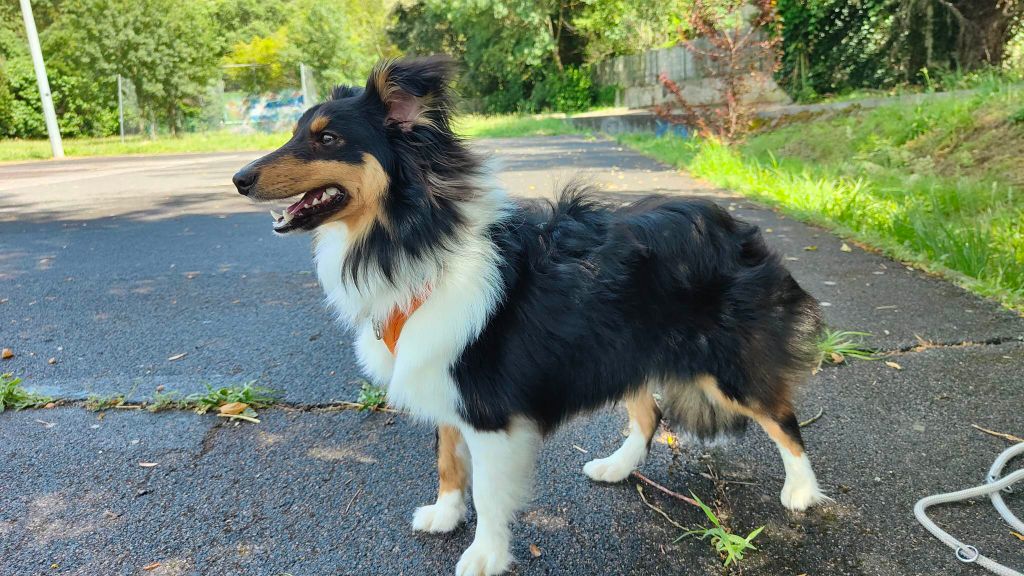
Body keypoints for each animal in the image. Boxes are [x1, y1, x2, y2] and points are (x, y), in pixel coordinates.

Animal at [234, 54, 831, 573]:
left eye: (327, 138)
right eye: (295, 133)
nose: (239, 179)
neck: (411, 236)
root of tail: (731, 222)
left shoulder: (488, 407)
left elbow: (489, 492)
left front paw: (484, 555)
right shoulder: (445, 377)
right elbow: (447, 458)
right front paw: (445, 514)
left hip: (728, 364)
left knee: (782, 418)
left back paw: (802, 490)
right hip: (623, 347)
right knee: (649, 414)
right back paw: (616, 467)